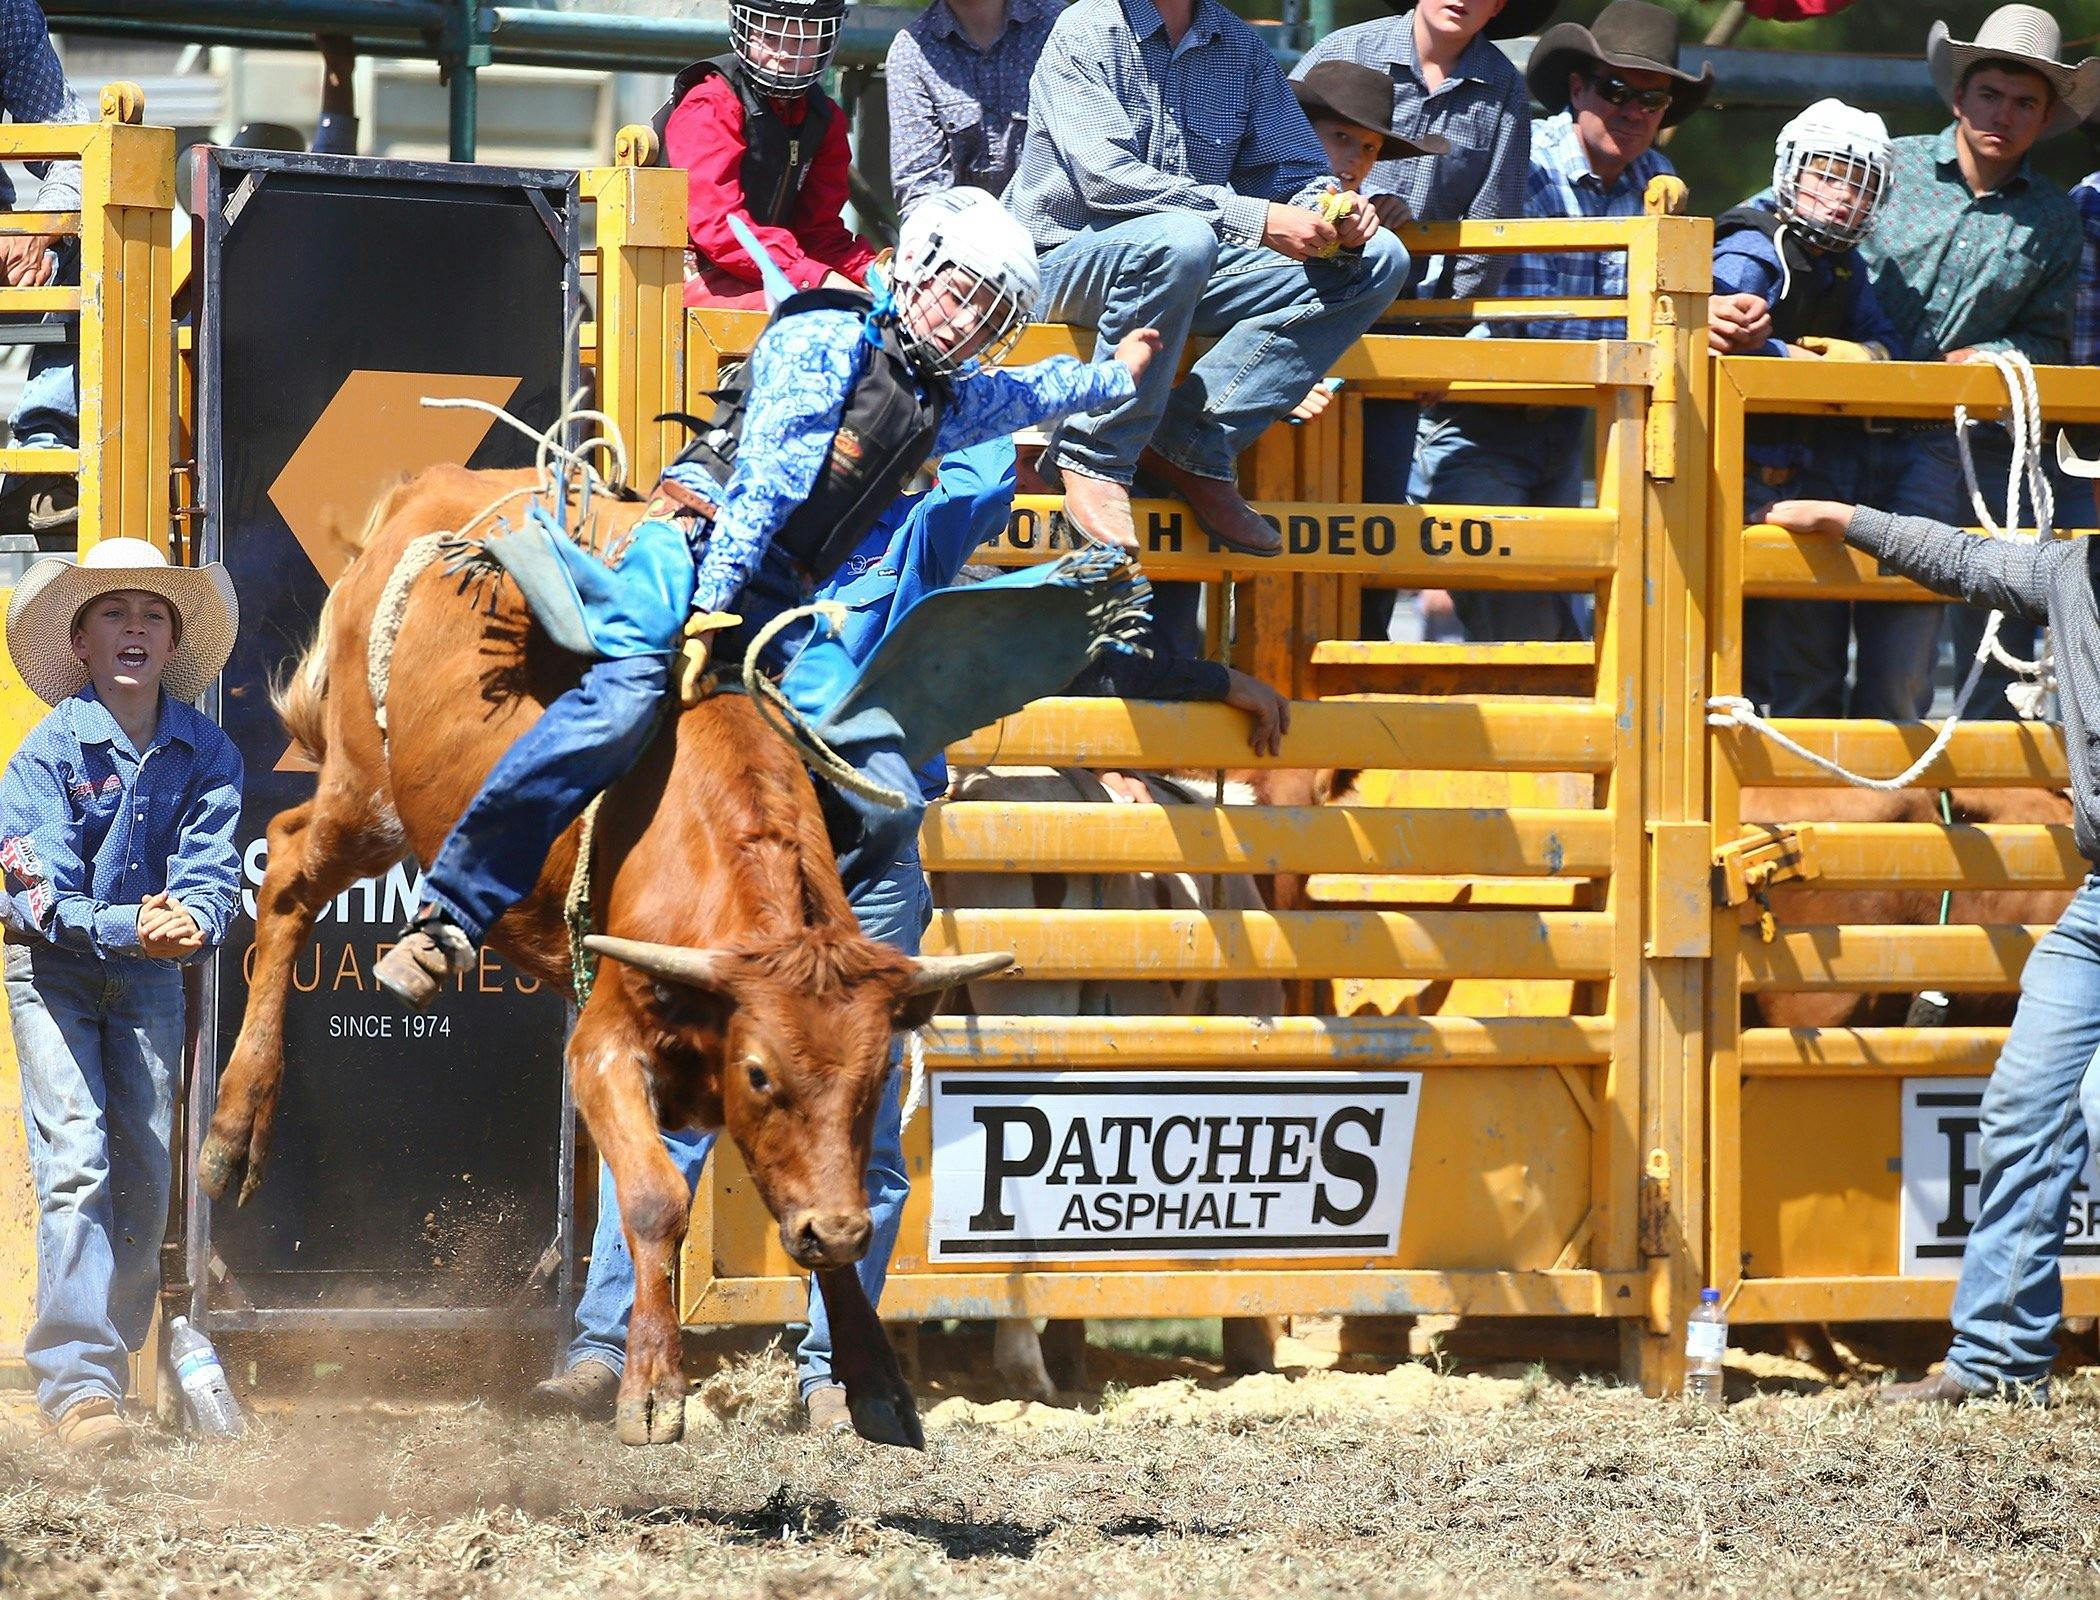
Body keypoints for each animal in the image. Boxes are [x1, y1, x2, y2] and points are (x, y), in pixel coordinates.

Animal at [197, 466, 1007, 1447]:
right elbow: (656, 1200)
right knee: (283, 872)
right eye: (760, 1074)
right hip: (367, 787)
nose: (840, 1230)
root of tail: (433, 490)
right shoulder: (603, 1047)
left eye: (879, 1074)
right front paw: (651, 1389)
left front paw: (875, 1377)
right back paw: (232, 1133)